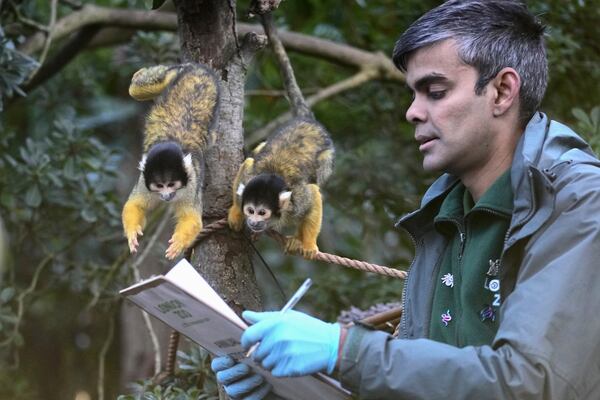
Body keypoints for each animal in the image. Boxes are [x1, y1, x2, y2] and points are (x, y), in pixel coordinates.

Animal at [122, 63, 220, 260]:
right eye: (160, 186)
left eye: (171, 184)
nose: (166, 196)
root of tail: (198, 69)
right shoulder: (144, 180)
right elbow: (134, 204)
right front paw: (133, 234)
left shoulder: (192, 182)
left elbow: (192, 219)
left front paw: (178, 244)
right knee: (139, 89)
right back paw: (139, 76)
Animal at [229, 117, 336, 258]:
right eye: (250, 210)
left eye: (262, 213)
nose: (253, 222)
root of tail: (308, 121)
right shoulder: (249, 178)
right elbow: (248, 164)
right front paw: (236, 212)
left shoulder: (298, 200)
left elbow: (313, 195)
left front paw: (309, 244)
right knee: (254, 156)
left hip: (326, 158)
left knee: (316, 181)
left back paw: (297, 240)